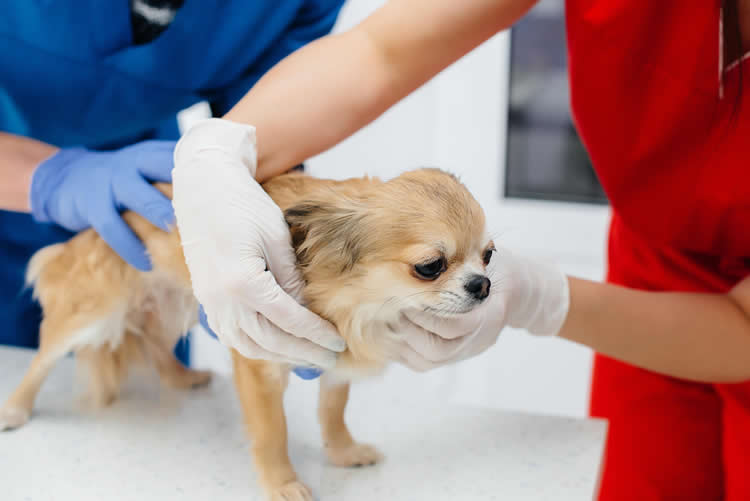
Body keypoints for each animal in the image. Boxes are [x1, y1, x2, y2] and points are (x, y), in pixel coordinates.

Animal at [2, 169, 496, 500]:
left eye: (489, 255)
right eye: (430, 266)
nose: (484, 285)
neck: (356, 305)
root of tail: (84, 234)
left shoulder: (336, 360)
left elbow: (333, 411)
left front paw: (341, 451)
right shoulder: (261, 365)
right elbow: (272, 433)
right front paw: (284, 484)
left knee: (153, 342)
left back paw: (181, 378)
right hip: (92, 312)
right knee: (44, 357)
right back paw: (16, 409)